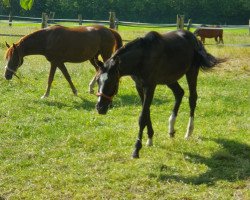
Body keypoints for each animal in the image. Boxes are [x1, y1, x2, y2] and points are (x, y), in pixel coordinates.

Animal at [94, 30, 226, 158]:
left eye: (112, 82)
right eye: (98, 80)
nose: (100, 108)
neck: (142, 57)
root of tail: (195, 39)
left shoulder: (150, 86)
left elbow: (142, 117)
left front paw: (136, 149)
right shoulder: (139, 86)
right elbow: (146, 112)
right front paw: (150, 139)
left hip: (192, 72)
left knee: (192, 98)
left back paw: (188, 132)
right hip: (170, 79)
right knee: (179, 93)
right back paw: (171, 128)